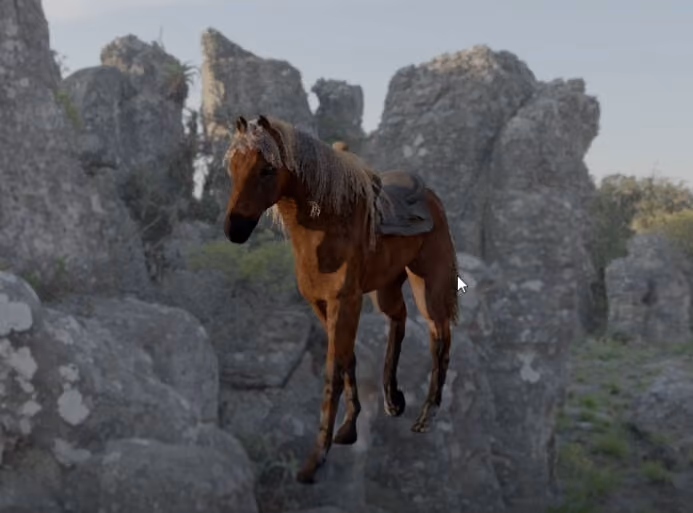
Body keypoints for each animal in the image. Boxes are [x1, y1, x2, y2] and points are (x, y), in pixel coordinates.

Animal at [223, 115, 459, 484]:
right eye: (233, 166)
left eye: (267, 169)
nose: (234, 229)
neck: (327, 224)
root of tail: (430, 196)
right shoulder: (321, 304)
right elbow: (347, 357)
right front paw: (349, 427)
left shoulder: (345, 300)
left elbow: (333, 368)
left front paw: (315, 460)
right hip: (386, 289)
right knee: (400, 319)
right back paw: (392, 399)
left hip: (428, 287)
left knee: (440, 335)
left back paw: (426, 416)